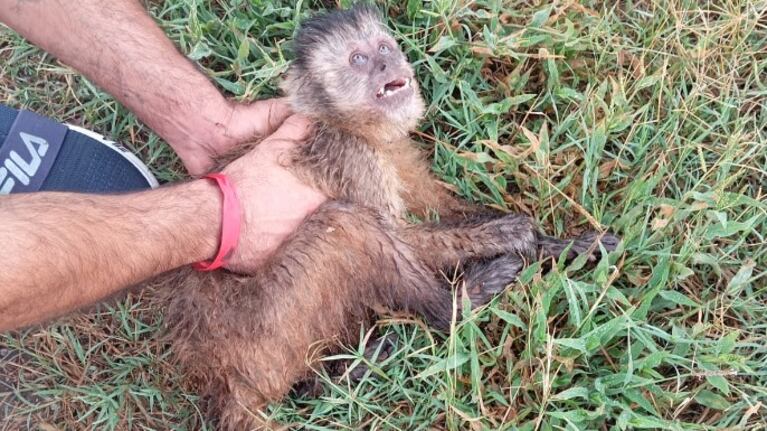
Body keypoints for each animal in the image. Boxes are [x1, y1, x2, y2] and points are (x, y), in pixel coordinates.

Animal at [163, 5, 619, 429]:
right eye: (357, 59)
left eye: (382, 48)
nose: (387, 65)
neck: (355, 127)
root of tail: (220, 373)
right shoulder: (350, 154)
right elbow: (401, 233)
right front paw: (511, 235)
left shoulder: (394, 149)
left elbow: (447, 211)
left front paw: (561, 245)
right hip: (264, 319)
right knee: (349, 223)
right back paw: (457, 305)